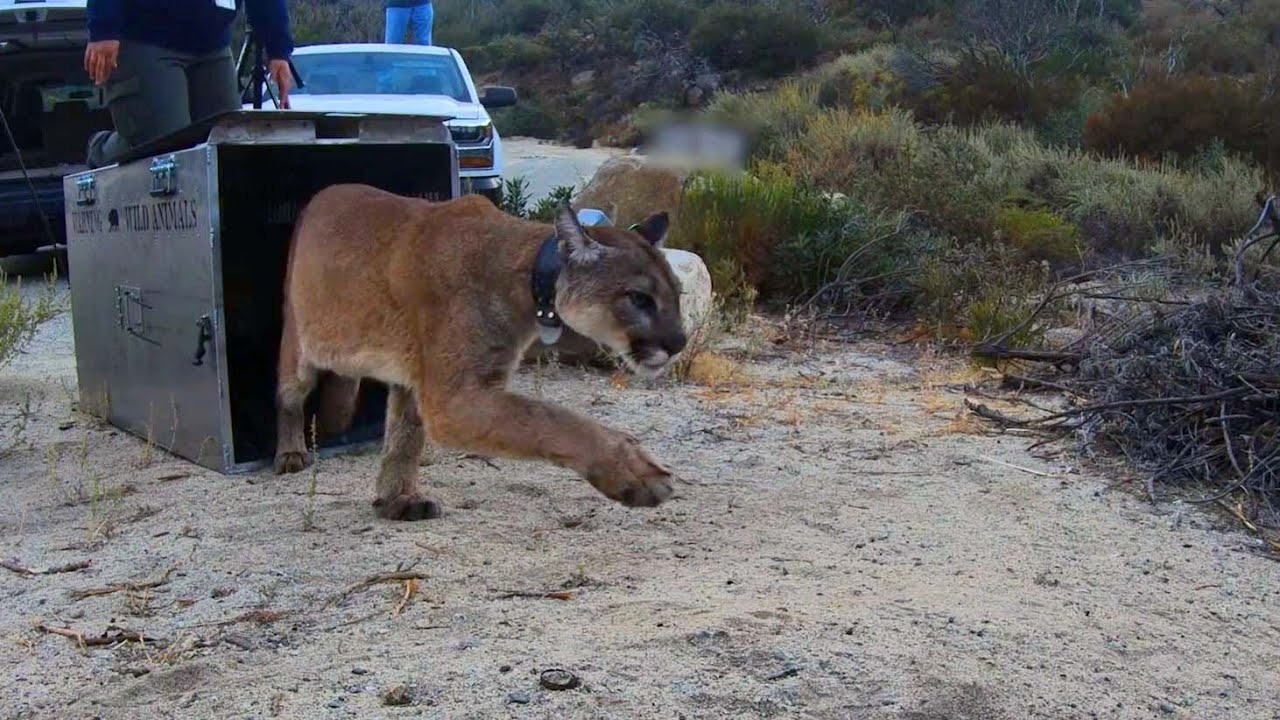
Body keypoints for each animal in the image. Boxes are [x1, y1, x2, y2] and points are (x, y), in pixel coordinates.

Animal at [272, 183, 687, 521]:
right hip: (299, 343)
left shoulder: (438, 383)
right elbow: (549, 419)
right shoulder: (453, 398)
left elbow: (407, 437)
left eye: (677, 293)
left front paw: (398, 501)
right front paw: (636, 473)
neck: (524, 277)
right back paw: (290, 453)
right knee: (288, 394)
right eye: (639, 298)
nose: (679, 343)